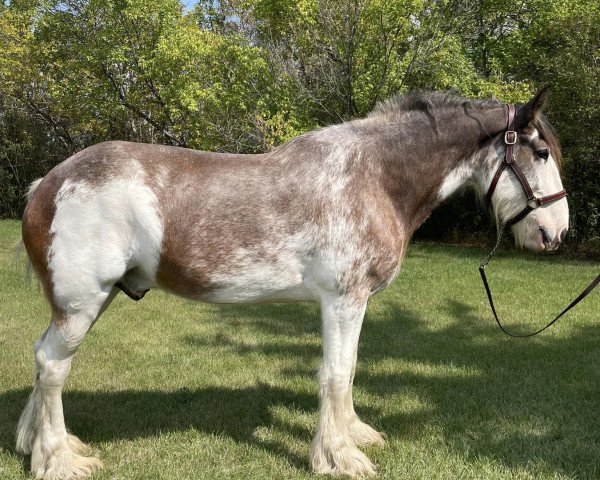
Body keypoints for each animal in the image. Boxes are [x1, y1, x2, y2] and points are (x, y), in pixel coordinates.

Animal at [14, 88, 568, 478]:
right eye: (540, 151)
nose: (557, 233)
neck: (375, 177)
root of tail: (47, 183)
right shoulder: (342, 301)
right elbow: (336, 374)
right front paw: (339, 457)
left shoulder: (353, 303)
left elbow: (349, 370)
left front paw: (354, 436)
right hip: (82, 306)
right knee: (53, 368)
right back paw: (60, 461)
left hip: (89, 303)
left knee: (43, 360)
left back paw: (36, 444)